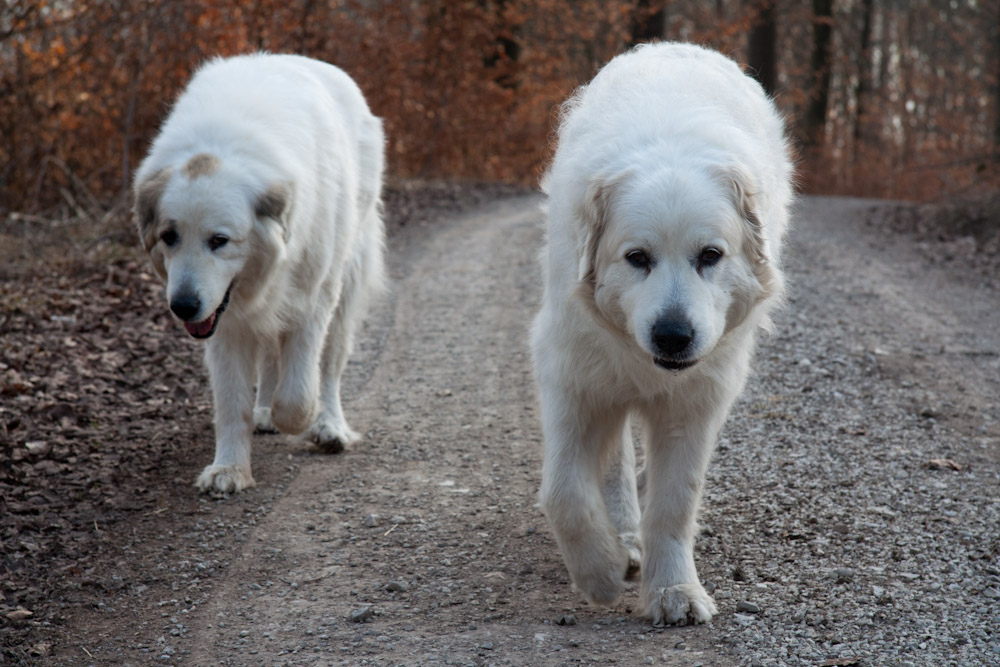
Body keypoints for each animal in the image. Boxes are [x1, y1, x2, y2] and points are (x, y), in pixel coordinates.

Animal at [139, 54, 388, 494]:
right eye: (170, 236)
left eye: (219, 240)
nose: (183, 306)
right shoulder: (224, 322)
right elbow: (232, 402)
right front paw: (229, 469)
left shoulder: (313, 301)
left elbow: (299, 392)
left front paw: (296, 419)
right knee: (272, 355)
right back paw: (265, 412)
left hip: (345, 290)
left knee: (329, 366)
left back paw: (329, 426)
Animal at [532, 43, 788, 628]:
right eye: (638, 258)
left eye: (710, 256)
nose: (673, 335)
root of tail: (675, 46)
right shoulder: (572, 380)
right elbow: (563, 493)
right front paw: (600, 574)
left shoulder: (694, 403)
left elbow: (674, 503)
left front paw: (674, 591)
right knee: (613, 467)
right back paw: (622, 539)